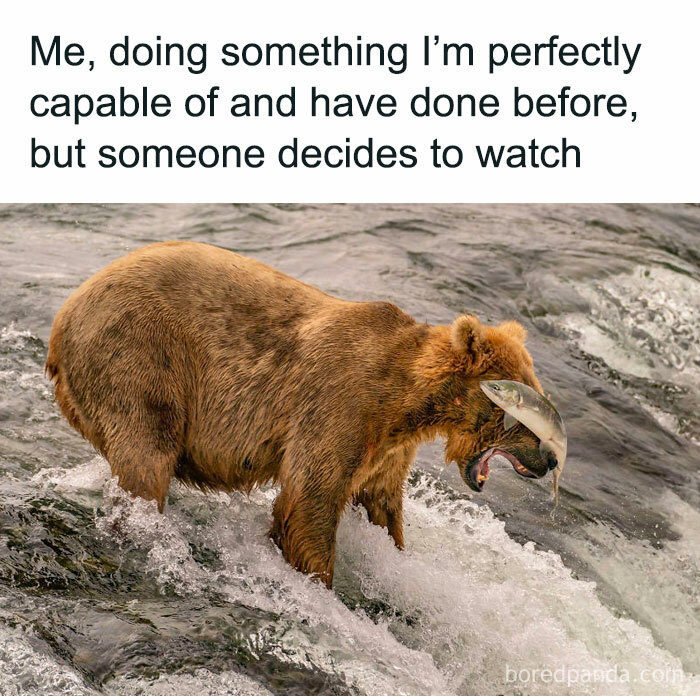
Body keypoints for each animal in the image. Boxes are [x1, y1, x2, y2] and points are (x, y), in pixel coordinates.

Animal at [46, 241, 554, 587]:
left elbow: (382, 503)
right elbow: (310, 499)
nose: (550, 457)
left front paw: (394, 555)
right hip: (140, 357)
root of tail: (63, 316)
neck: (406, 401)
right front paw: (320, 581)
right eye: (520, 410)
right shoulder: (340, 404)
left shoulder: (388, 447)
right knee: (146, 456)